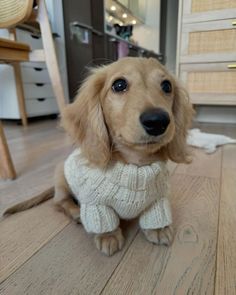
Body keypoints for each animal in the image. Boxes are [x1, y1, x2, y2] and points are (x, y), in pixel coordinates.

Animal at [4, 57, 195, 256]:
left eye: (167, 86)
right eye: (119, 85)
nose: (157, 121)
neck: (135, 166)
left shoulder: (158, 199)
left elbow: (155, 214)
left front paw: (158, 229)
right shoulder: (96, 204)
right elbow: (104, 221)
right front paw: (108, 236)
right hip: (61, 178)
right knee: (59, 202)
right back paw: (75, 212)